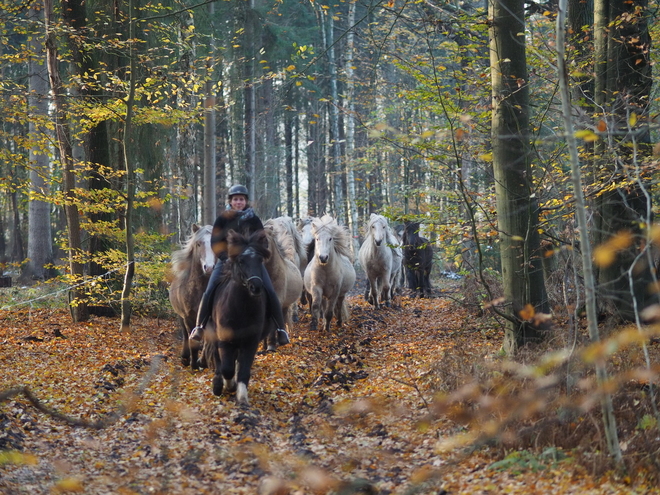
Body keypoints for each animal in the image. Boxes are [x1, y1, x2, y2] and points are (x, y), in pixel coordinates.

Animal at [168, 227, 214, 370]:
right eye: (198, 244)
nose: (209, 268)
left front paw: (202, 361)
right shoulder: (188, 317)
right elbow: (191, 339)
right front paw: (193, 364)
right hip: (180, 316)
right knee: (185, 334)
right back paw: (185, 357)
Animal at [205, 229, 270, 406]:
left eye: (260, 259)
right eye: (241, 261)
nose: (256, 287)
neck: (241, 308)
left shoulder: (250, 342)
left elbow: (244, 371)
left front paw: (242, 398)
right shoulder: (225, 340)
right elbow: (226, 368)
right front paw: (228, 386)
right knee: (219, 360)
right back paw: (218, 385)